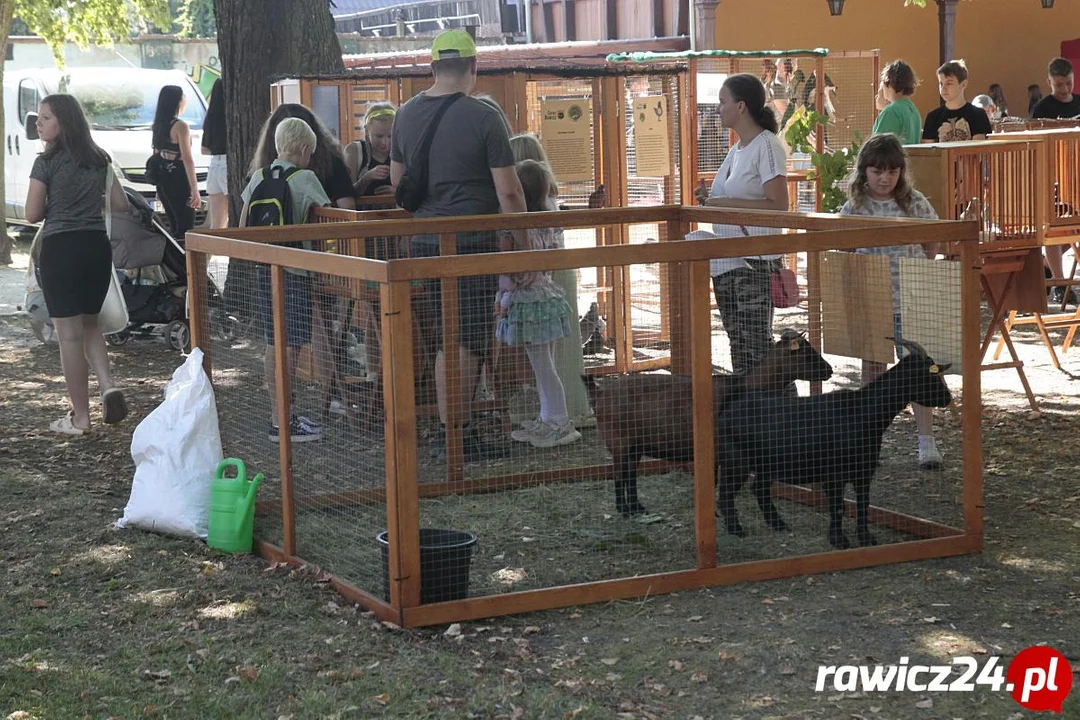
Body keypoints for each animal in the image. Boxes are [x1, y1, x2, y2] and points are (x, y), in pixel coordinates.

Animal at [591, 332, 833, 518]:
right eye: (807, 353)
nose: (829, 370)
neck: (744, 387)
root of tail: (601, 393)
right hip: (619, 441)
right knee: (620, 474)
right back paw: (624, 510)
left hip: (634, 446)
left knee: (630, 475)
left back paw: (637, 508)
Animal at [717, 341, 954, 548]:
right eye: (928, 375)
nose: (947, 398)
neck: (862, 412)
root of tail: (729, 408)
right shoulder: (833, 475)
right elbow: (838, 507)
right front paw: (839, 540)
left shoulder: (864, 472)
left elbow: (863, 505)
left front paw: (866, 538)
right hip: (736, 462)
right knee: (726, 495)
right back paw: (737, 529)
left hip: (766, 465)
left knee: (759, 489)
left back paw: (779, 525)